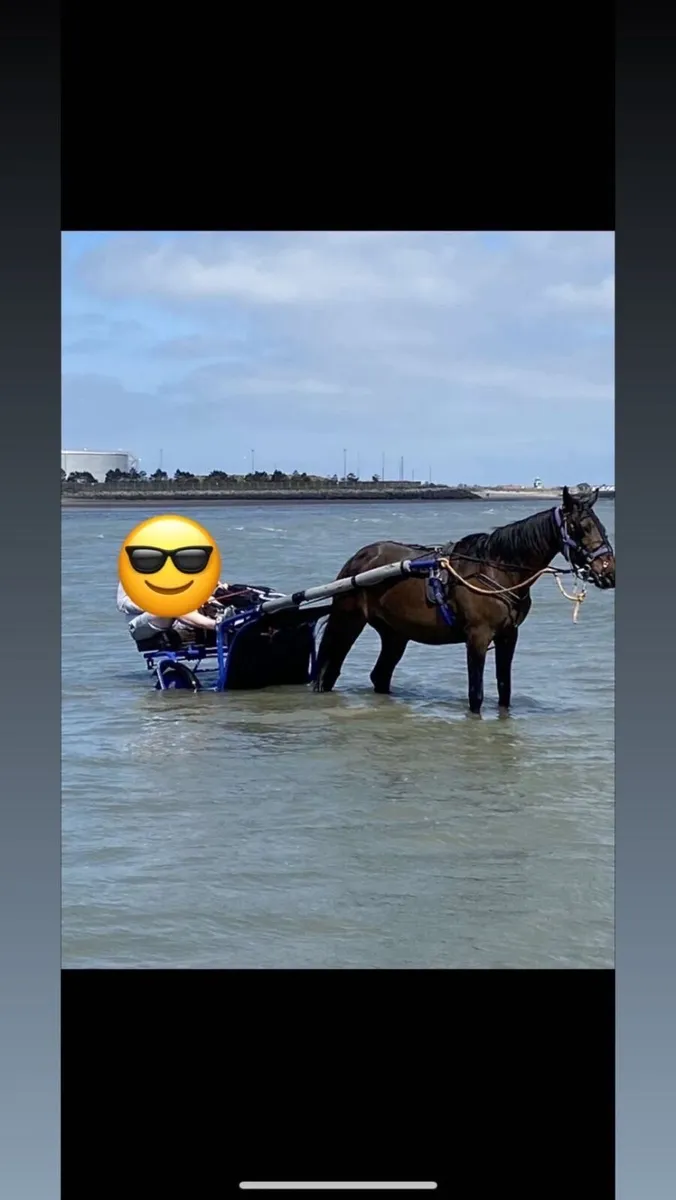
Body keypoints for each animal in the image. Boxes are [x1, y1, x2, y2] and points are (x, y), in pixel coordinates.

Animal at [312, 486, 615, 716]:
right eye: (580, 527)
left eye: (601, 526)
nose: (608, 572)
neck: (496, 569)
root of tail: (359, 558)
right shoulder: (477, 638)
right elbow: (476, 694)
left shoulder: (508, 636)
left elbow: (504, 690)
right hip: (347, 622)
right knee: (328, 670)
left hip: (395, 633)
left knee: (380, 675)